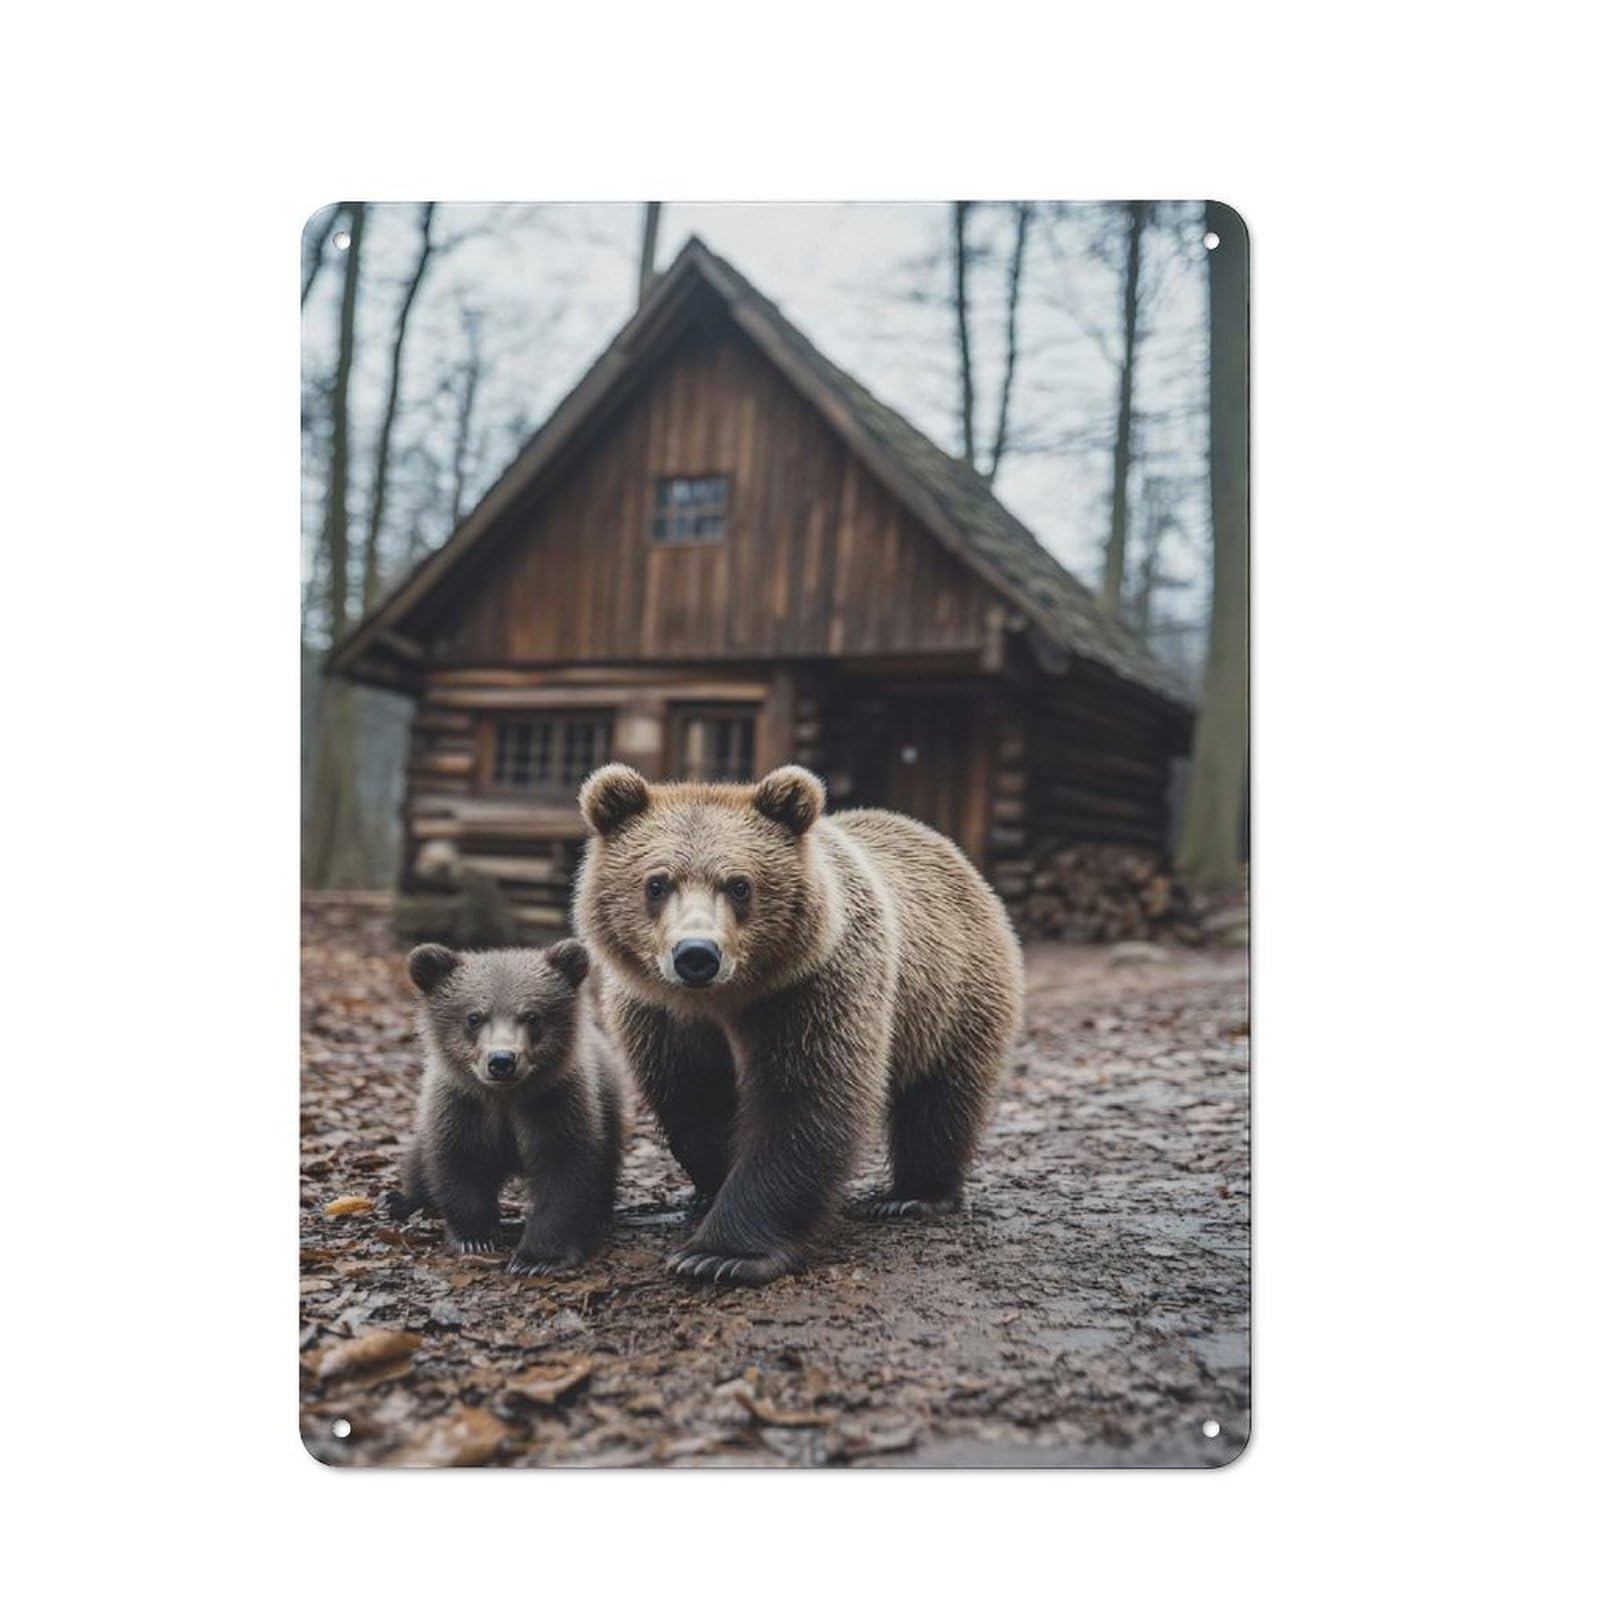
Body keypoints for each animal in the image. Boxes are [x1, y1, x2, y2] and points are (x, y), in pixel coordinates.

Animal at [382, 939, 626, 1275]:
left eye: (532, 1016)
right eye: (474, 1017)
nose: (501, 1061)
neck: (505, 1098)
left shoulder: (554, 1104)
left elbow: (565, 1171)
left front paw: (536, 1258)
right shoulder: (463, 1106)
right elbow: (460, 1164)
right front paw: (476, 1237)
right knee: (419, 1160)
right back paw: (400, 1200)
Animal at [573, 763, 1023, 1286]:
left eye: (739, 885)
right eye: (657, 884)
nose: (696, 955)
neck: (722, 1002)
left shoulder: (809, 991)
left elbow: (803, 1104)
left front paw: (720, 1254)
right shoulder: (664, 1020)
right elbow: (694, 1102)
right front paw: (711, 1188)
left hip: (951, 996)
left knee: (942, 1100)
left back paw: (915, 1195)